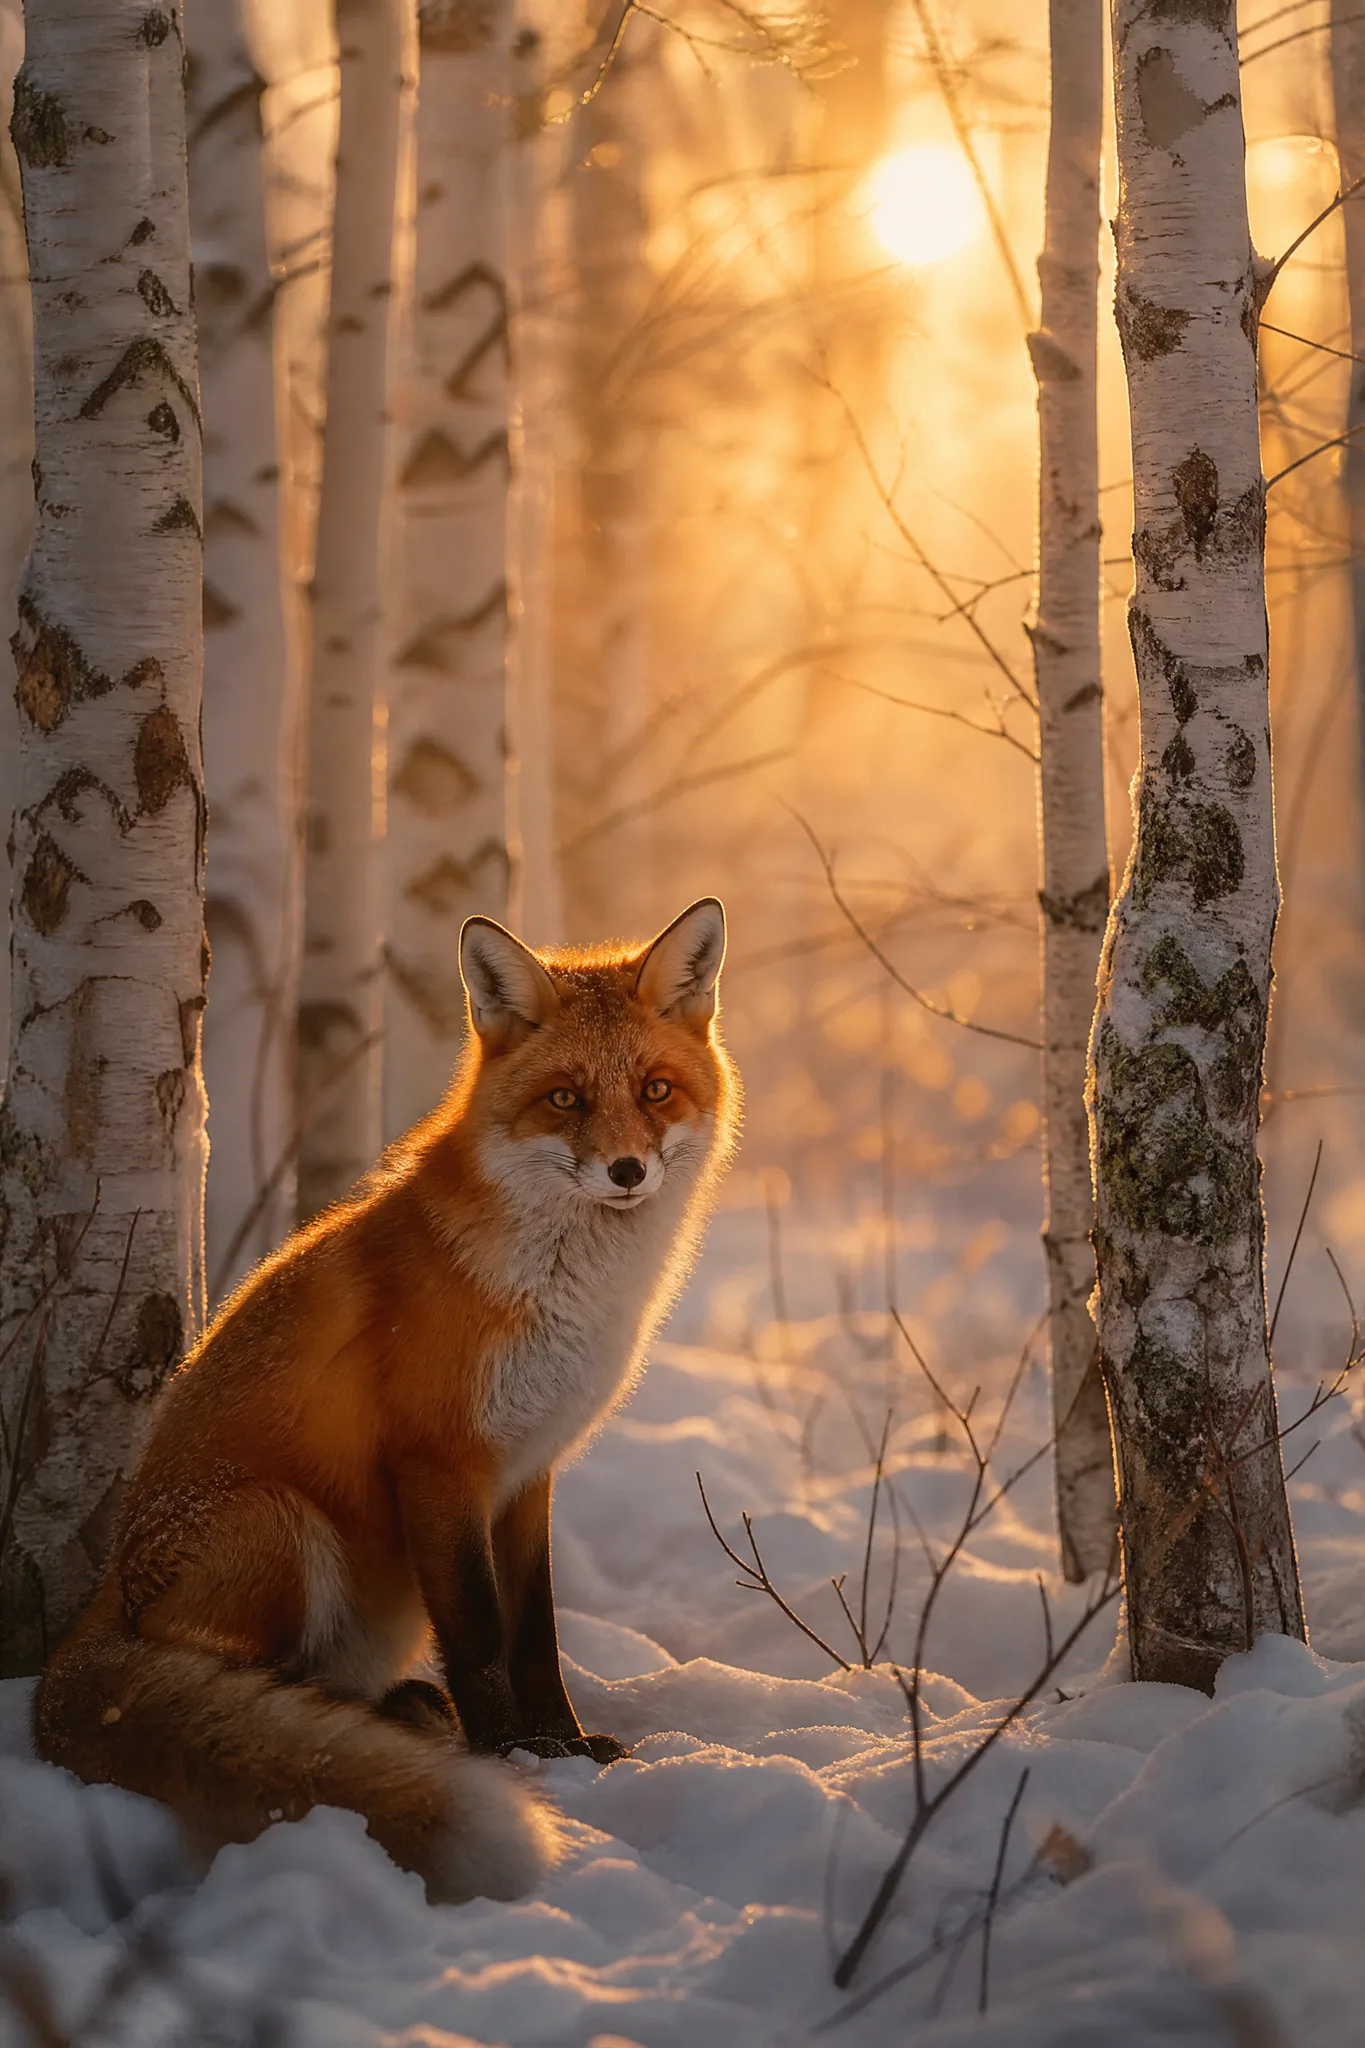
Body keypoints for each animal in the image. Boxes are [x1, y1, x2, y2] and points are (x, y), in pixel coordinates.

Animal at [33, 897, 739, 1906]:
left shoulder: (529, 1468)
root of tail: (94, 1617)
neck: (563, 1291)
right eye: (565, 1098)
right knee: (224, 1677)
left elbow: (534, 1629)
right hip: (280, 1520)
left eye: (654, 1091)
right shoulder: (439, 1460)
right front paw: (509, 1758)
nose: (627, 1172)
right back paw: (347, 1725)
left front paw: (562, 1749)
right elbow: (479, 1632)